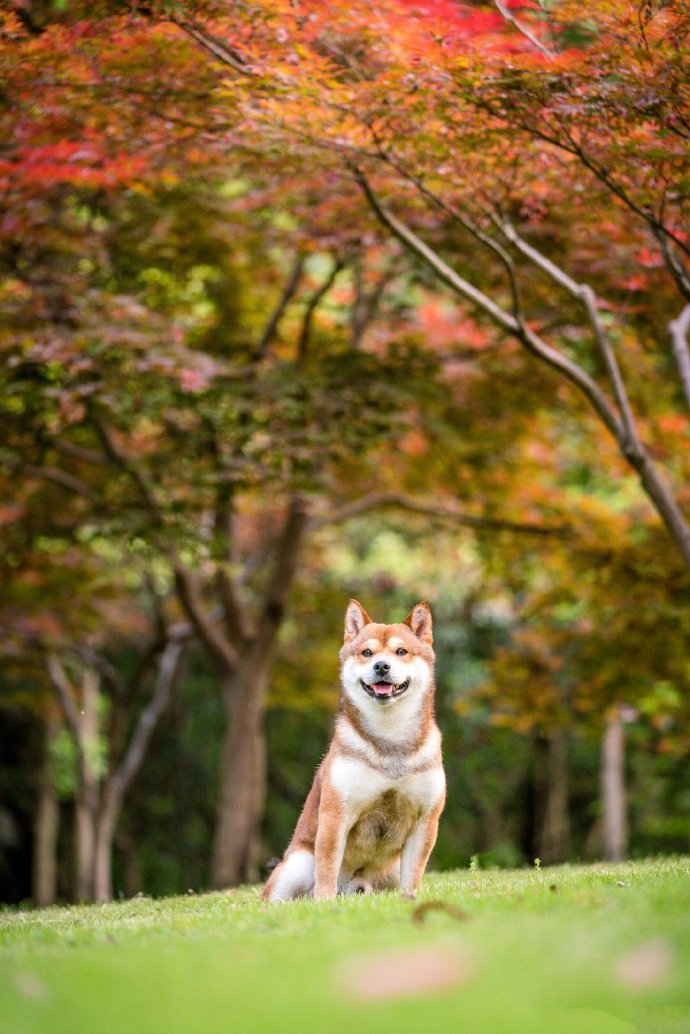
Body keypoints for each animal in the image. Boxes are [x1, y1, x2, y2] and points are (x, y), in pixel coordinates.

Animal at [261, 603, 444, 901]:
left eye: (401, 651)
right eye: (367, 653)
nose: (381, 665)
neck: (389, 739)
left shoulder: (426, 820)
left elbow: (413, 877)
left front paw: (408, 901)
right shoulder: (336, 815)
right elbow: (326, 870)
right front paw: (324, 903)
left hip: (390, 871)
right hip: (297, 865)